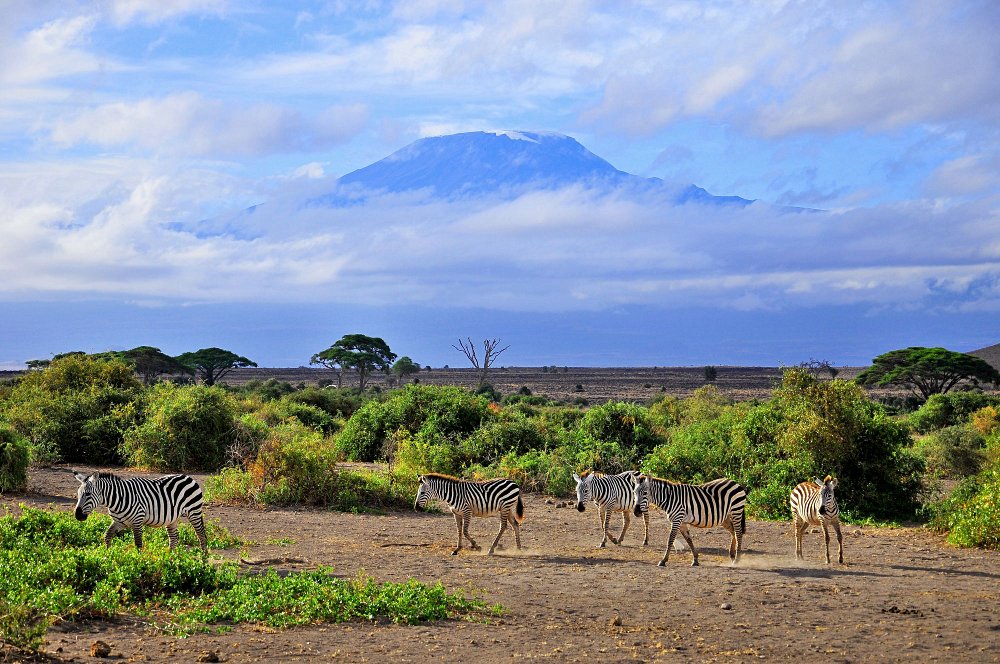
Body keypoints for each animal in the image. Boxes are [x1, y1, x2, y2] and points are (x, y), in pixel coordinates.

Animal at [74, 470, 209, 552]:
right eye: (78, 494)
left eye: (88, 494)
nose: (77, 516)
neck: (118, 498)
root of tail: (188, 476)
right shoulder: (119, 522)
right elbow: (107, 536)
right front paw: (107, 555)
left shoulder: (137, 521)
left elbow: (138, 544)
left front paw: (139, 562)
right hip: (172, 518)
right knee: (174, 538)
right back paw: (170, 559)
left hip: (194, 512)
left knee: (201, 535)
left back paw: (203, 561)